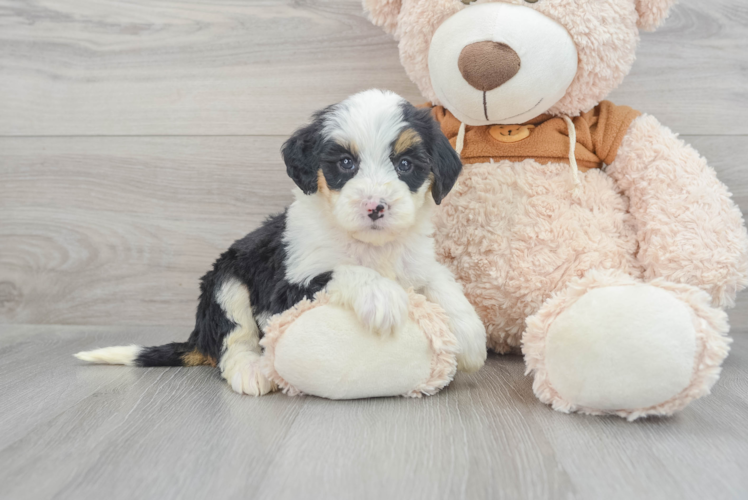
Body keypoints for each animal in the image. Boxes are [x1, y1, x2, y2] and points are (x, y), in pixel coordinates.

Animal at [74, 89, 486, 394]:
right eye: (345, 164)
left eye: (405, 165)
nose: (375, 207)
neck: (369, 245)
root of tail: (198, 337)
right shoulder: (287, 285)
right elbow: (342, 270)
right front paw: (381, 295)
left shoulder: (416, 260)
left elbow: (441, 280)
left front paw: (469, 337)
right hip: (224, 281)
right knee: (233, 339)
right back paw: (252, 369)